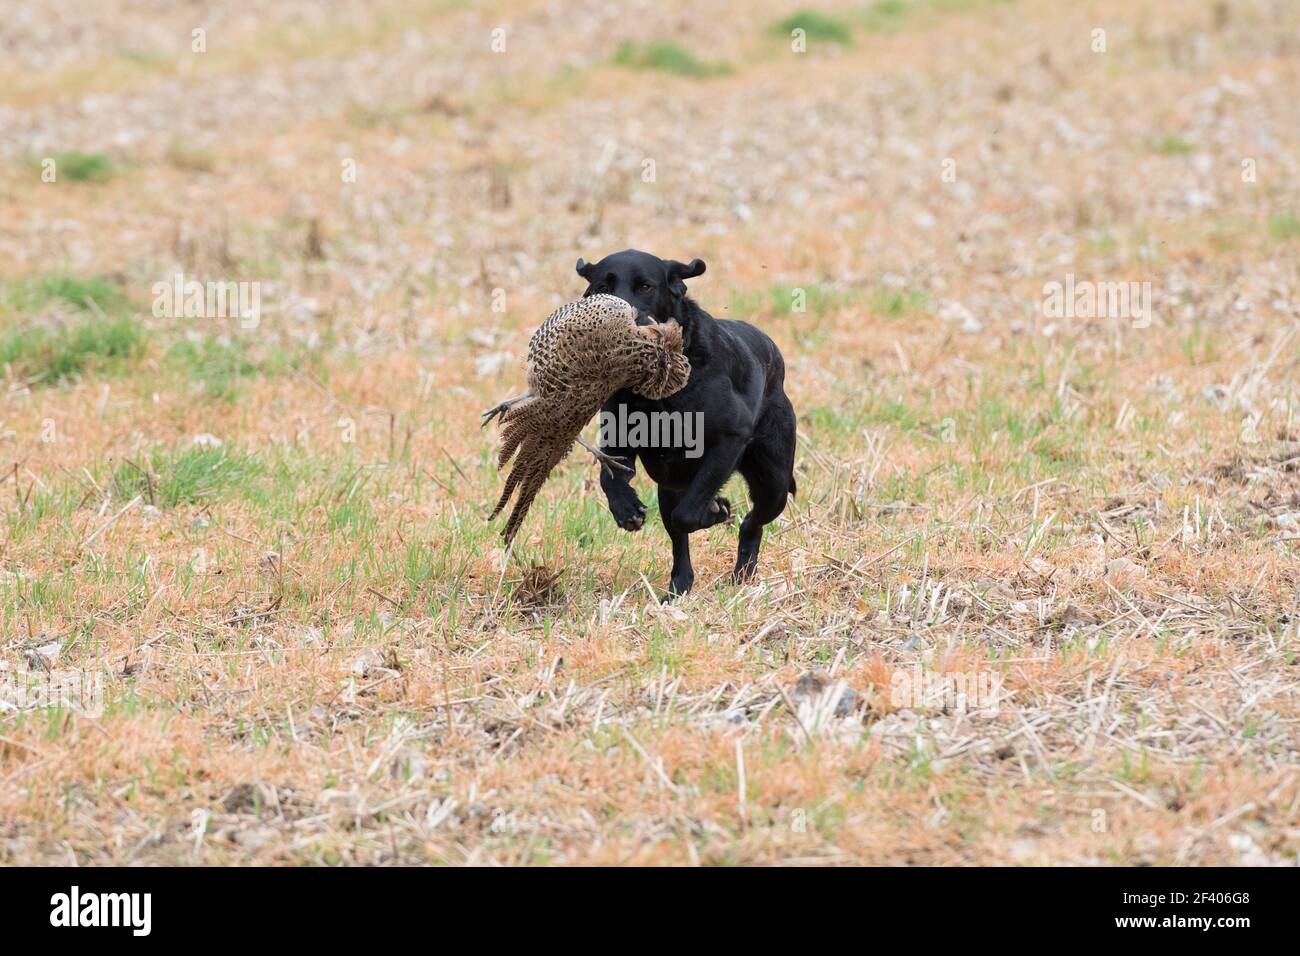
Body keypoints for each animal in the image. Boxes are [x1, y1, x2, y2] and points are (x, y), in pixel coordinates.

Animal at [577, 248, 795, 590]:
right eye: (603, 287)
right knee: (680, 542)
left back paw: (742, 572)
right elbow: (609, 476)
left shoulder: (729, 438)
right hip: (669, 486)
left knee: (751, 522)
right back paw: (679, 586)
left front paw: (716, 511)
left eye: (645, 287)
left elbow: (690, 512)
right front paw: (626, 508)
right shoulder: (619, 439)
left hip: (774, 483)